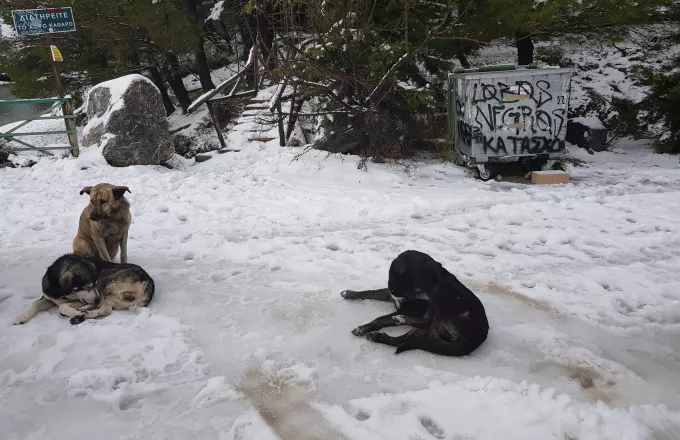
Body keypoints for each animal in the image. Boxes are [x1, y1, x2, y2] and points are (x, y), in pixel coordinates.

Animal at [12, 253, 154, 324]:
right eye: (86, 287)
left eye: (94, 284)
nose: (96, 299)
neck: (62, 293)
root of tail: (148, 282)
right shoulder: (48, 296)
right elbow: (34, 305)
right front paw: (21, 317)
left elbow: (62, 306)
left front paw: (76, 311)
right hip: (114, 298)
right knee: (106, 309)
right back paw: (84, 315)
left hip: (106, 279)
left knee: (104, 308)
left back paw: (82, 313)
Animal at [340, 249, 488, 356]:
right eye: (428, 285)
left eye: (435, 282)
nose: (429, 299)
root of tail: (478, 337)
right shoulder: (391, 295)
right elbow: (371, 292)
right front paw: (350, 293)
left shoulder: (412, 309)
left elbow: (381, 318)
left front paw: (363, 328)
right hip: (428, 330)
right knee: (403, 341)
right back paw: (378, 336)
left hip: (444, 290)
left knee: (425, 322)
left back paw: (400, 320)